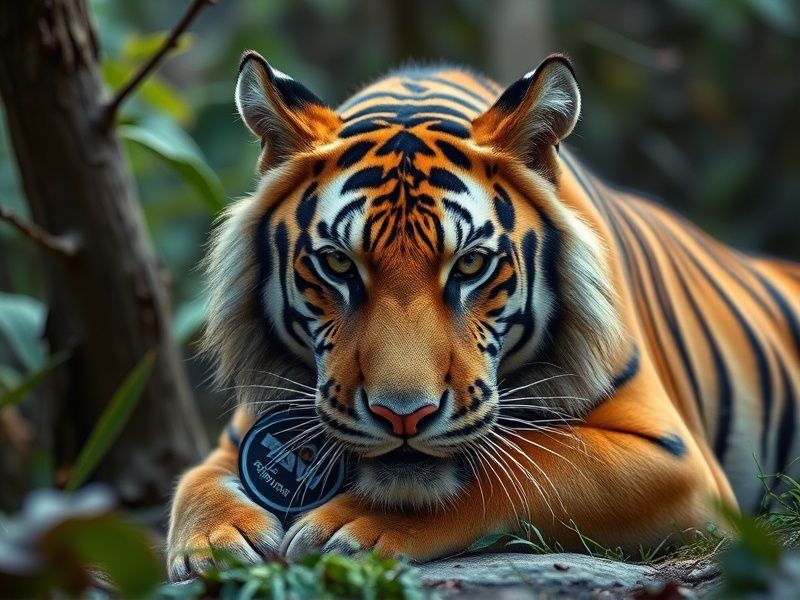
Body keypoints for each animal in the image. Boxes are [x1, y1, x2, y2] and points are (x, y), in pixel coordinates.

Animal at [166, 50, 800, 580]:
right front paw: (215, 544)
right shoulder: (242, 428)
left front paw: (345, 528)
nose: (403, 417)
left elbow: (524, 468)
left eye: (470, 263)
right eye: (338, 263)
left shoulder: (676, 459)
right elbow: (193, 483)